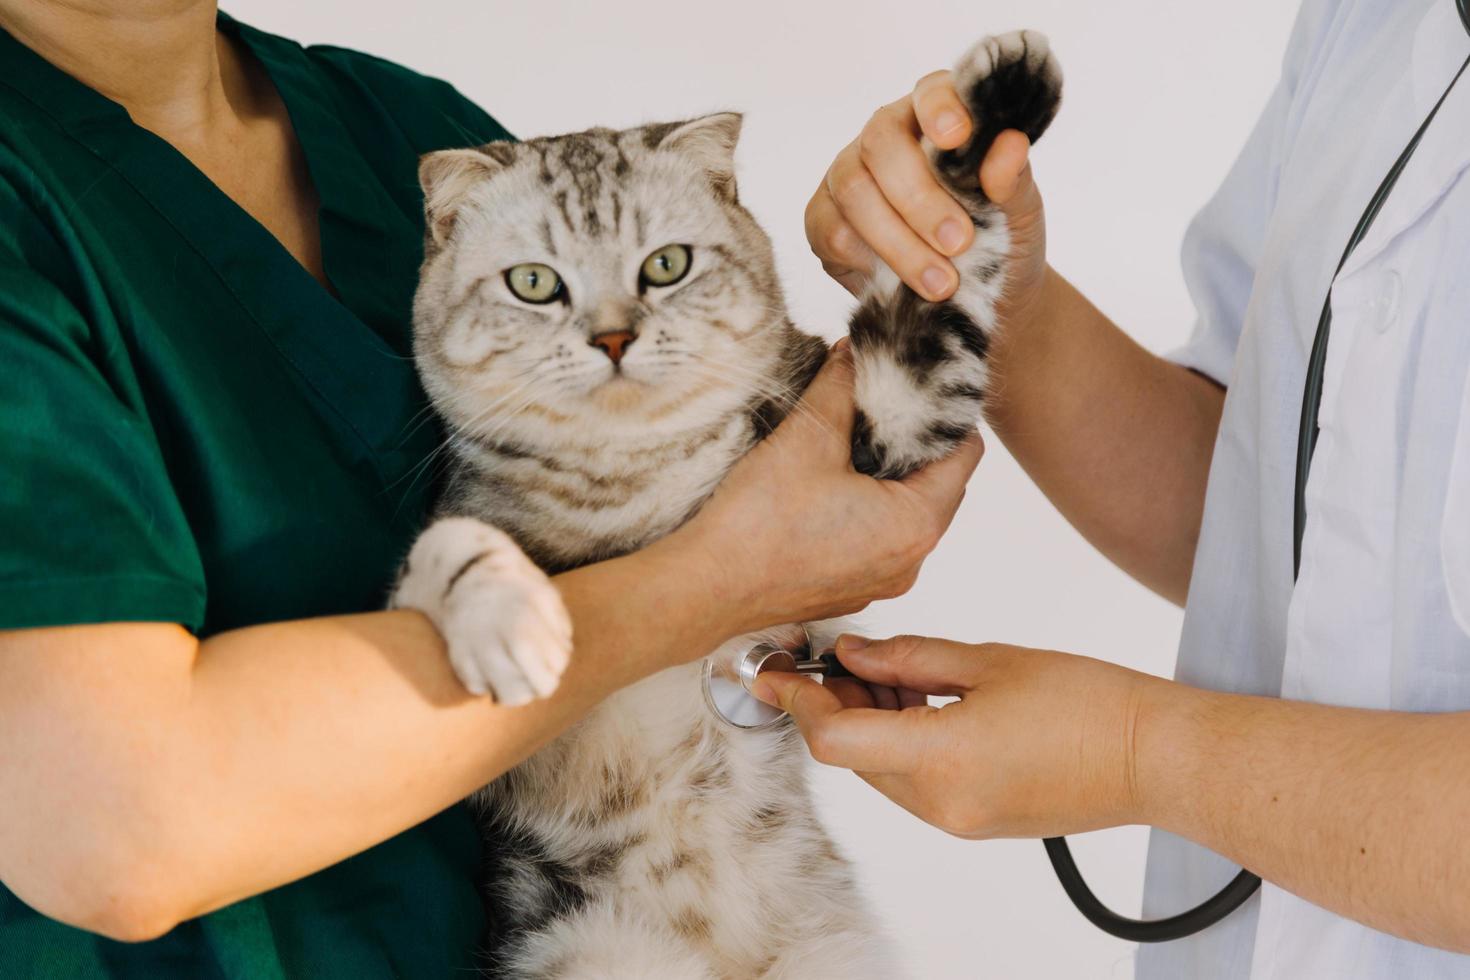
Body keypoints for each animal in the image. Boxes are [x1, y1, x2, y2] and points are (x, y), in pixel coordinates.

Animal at [391, 30, 1058, 980]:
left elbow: (935, 287)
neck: (639, 480)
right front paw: (499, 621)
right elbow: (443, 551)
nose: (613, 336)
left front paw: (991, 106)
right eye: (534, 283)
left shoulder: (896, 426)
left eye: (666, 265)